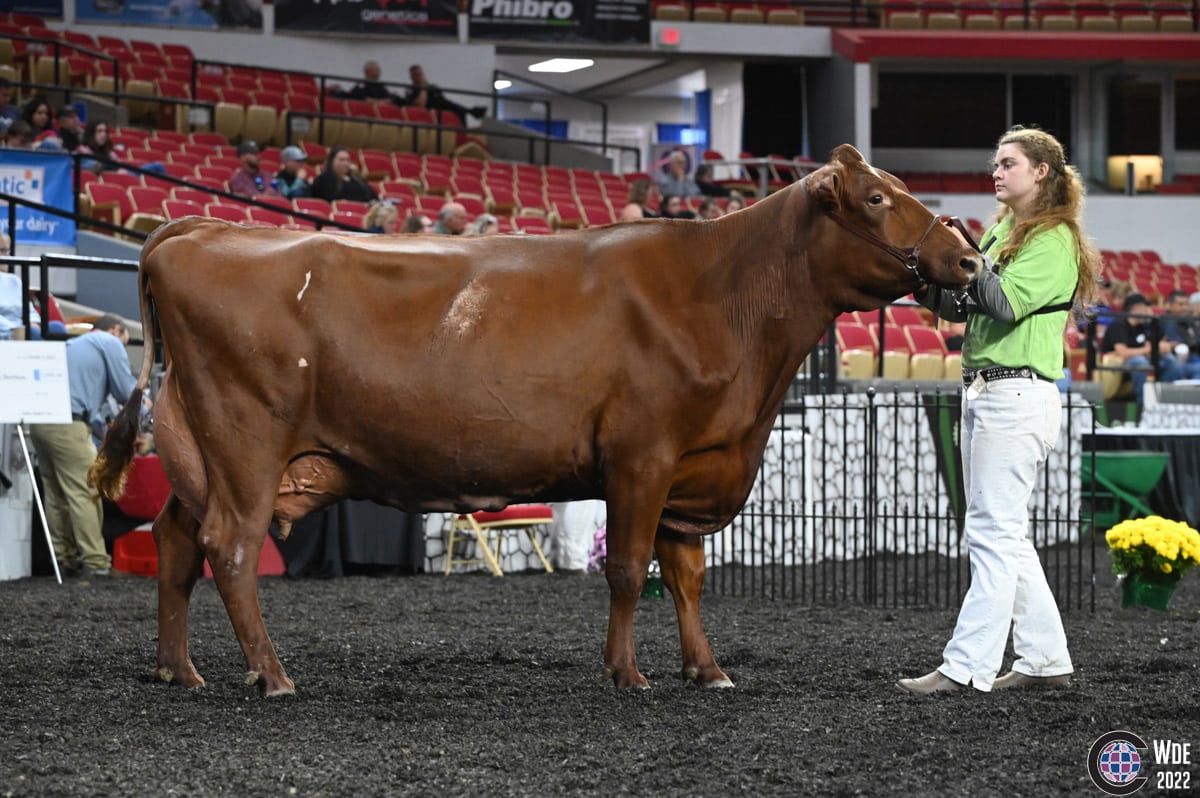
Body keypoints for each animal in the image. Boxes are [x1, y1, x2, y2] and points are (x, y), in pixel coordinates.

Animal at [91, 146, 974, 696]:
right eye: (875, 199)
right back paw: (271, 676)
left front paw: (707, 669)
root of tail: (197, 229)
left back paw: (180, 670)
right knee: (232, 548)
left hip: (199, 446)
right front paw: (628, 673)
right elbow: (630, 569)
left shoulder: (695, 460)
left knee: (176, 541)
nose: (967, 258)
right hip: (247, 440)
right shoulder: (642, 453)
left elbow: (686, 575)